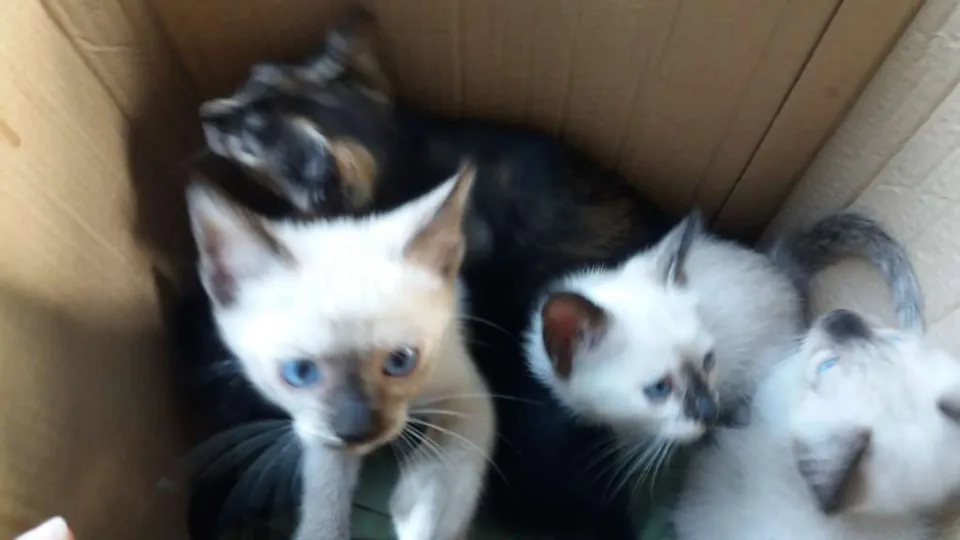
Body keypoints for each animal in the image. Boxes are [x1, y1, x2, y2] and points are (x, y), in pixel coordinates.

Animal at [186, 164, 495, 540]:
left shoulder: (466, 393)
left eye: (400, 361)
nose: (357, 430)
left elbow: (444, 481)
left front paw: (414, 512)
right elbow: (325, 492)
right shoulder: (318, 432)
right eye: (300, 372)